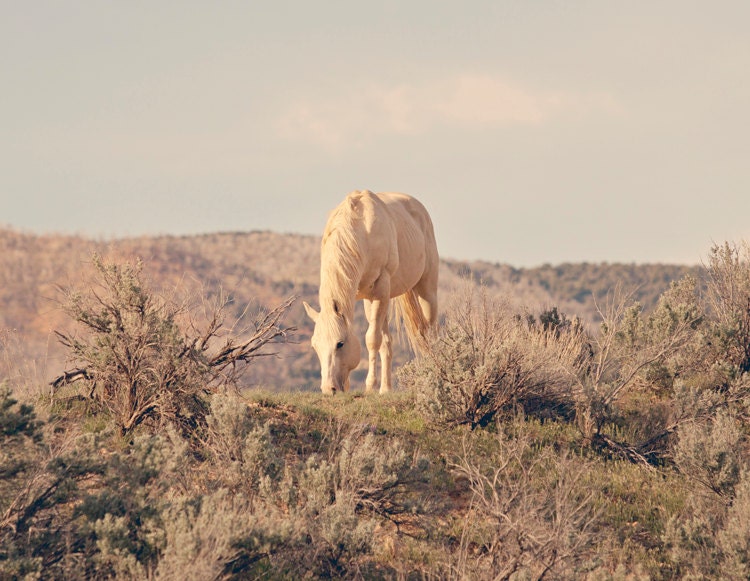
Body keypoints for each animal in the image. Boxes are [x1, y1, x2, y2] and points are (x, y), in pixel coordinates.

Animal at [303, 190, 439, 394]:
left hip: (427, 291)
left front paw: (369, 387)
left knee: (430, 334)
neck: (361, 231)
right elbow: (381, 342)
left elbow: (372, 339)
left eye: (340, 343)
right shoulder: (367, 297)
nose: (329, 389)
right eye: (315, 345)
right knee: (388, 342)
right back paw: (386, 389)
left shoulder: (380, 291)